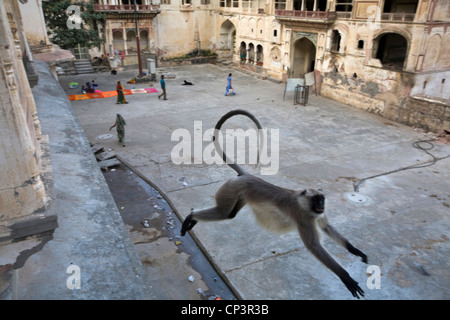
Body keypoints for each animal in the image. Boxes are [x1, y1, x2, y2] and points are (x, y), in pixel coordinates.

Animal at [181, 109, 368, 298]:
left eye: (322, 199)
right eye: (316, 199)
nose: (321, 204)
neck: (303, 202)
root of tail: (247, 176)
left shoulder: (318, 214)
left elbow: (326, 227)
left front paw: (354, 250)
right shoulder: (303, 217)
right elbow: (314, 246)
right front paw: (345, 276)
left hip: (238, 194)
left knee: (229, 214)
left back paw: (194, 218)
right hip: (231, 188)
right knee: (224, 213)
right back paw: (191, 215)